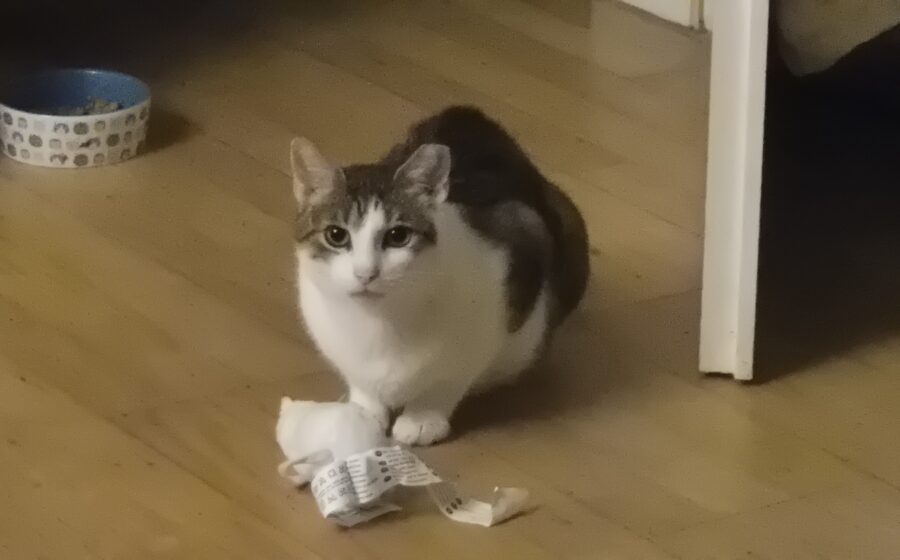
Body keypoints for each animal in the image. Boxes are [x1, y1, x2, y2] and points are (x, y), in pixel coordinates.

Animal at [290, 106, 589, 446]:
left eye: (398, 236)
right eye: (336, 235)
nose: (365, 272)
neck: (379, 321)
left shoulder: (518, 258)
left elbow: (452, 376)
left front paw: (423, 418)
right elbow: (361, 380)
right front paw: (363, 413)